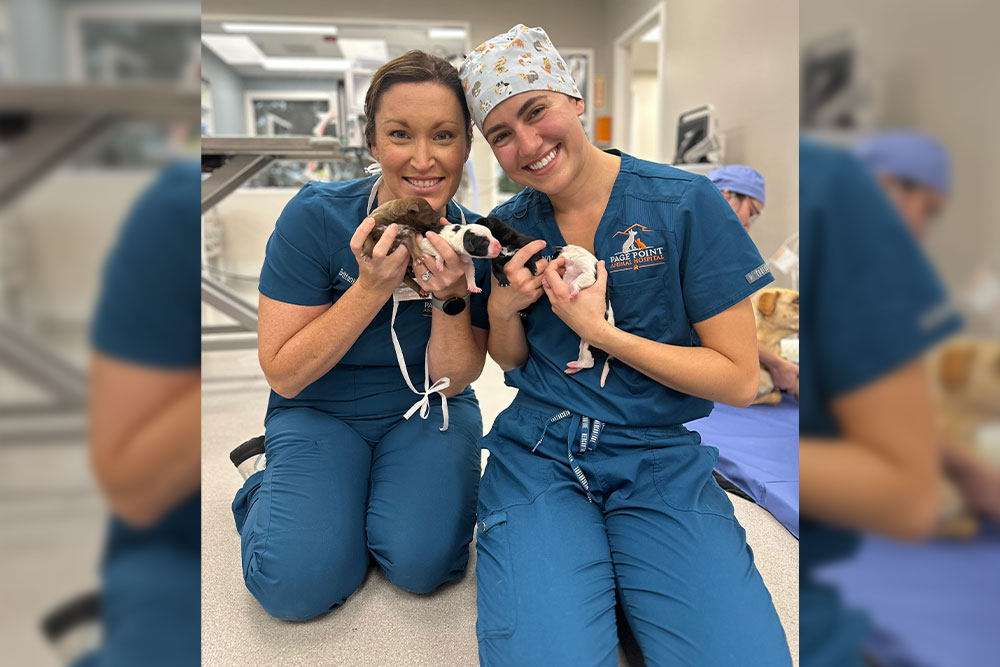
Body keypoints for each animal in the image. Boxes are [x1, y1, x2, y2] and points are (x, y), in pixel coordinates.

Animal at [553, 245, 615, 387]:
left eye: (553, 256)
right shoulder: (569, 276)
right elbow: (569, 281)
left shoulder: (588, 274)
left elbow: (575, 282)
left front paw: (573, 293)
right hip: (582, 345)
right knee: (584, 362)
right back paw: (573, 368)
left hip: (589, 347)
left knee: (590, 364)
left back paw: (573, 365)